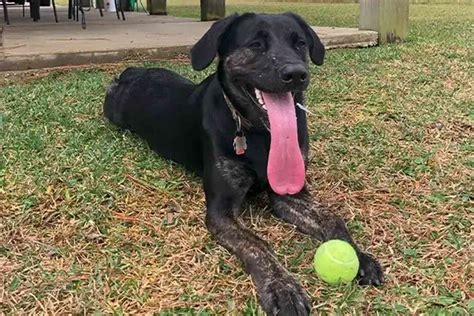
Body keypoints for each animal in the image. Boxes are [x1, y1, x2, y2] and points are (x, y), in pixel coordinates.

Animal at [104, 12, 386, 316]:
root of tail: (131, 71)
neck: (262, 135)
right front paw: (282, 288)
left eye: (300, 43)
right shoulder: (221, 211)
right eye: (256, 44)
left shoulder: (290, 193)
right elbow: (257, 244)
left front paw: (360, 257)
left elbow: (333, 219)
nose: (296, 74)